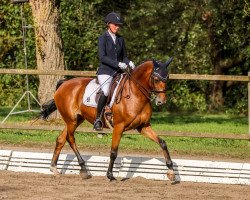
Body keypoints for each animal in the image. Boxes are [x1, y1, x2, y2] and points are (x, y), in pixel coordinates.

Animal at [40, 58, 175, 181]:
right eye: (156, 79)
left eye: (167, 79)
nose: (161, 101)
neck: (136, 94)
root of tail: (64, 84)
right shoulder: (119, 127)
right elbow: (113, 152)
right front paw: (110, 175)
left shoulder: (143, 126)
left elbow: (162, 143)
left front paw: (171, 171)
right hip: (71, 120)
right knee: (71, 139)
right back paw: (84, 170)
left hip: (75, 120)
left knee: (61, 139)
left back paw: (54, 168)